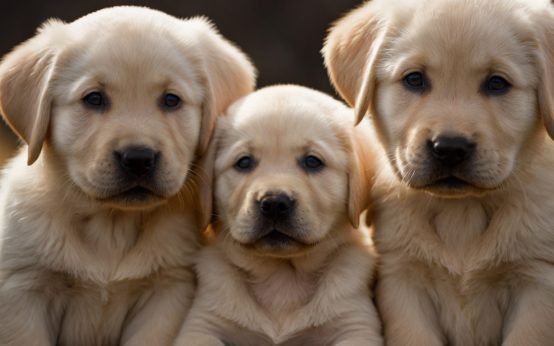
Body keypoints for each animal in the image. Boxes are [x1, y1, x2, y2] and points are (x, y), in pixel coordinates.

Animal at [0, 6, 254, 346]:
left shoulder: (167, 292)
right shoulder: (23, 291)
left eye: (171, 100)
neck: (112, 225)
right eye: (94, 99)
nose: (138, 159)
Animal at [175, 84, 382, 346]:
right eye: (244, 162)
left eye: (312, 161)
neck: (283, 276)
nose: (274, 203)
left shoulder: (355, 326)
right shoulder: (203, 325)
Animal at [322, 0, 552, 346]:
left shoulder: (537, 282)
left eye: (497, 83)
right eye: (414, 79)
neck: (462, 210)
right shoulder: (402, 280)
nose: (450, 148)